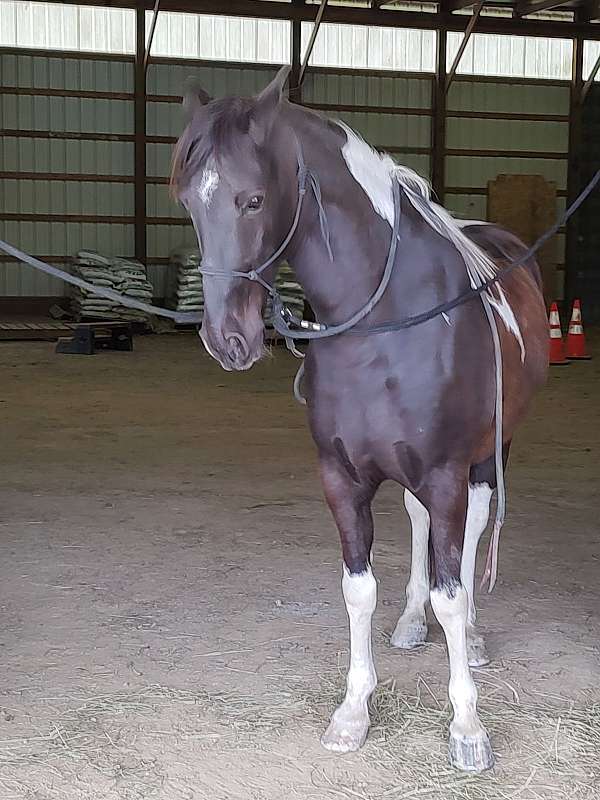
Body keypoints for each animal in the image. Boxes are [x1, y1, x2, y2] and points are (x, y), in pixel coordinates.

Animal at [169, 70, 548, 776]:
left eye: (253, 199)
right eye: (187, 201)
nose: (228, 339)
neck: (387, 320)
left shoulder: (448, 472)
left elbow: (454, 588)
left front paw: (467, 726)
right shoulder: (342, 476)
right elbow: (358, 590)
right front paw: (352, 712)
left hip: (493, 450)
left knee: (475, 530)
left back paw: (471, 634)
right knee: (419, 524)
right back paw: (412, 622)